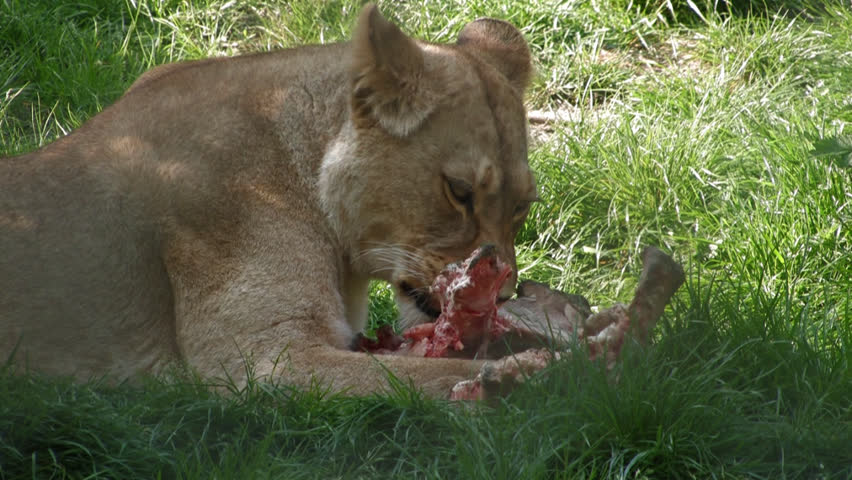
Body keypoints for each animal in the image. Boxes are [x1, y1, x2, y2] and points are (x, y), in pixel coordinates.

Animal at [0, 4, 537, 398]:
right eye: (459, 192)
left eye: (522, 207)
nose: (502, 294)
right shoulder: (264, 359)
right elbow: (422, 376)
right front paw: (533, 375)